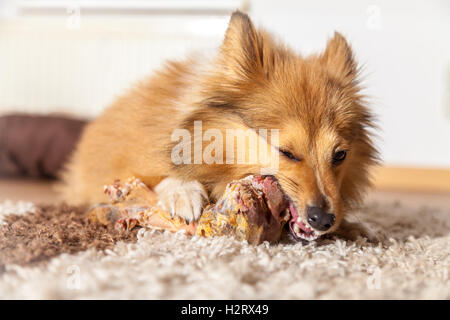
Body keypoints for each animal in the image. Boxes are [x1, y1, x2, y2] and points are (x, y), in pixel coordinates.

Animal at [61, 10, 378, 240]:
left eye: (340, 155)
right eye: (286, 152)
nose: (324, 220)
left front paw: (355, 227)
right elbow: (152, 176)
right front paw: (183, 193)